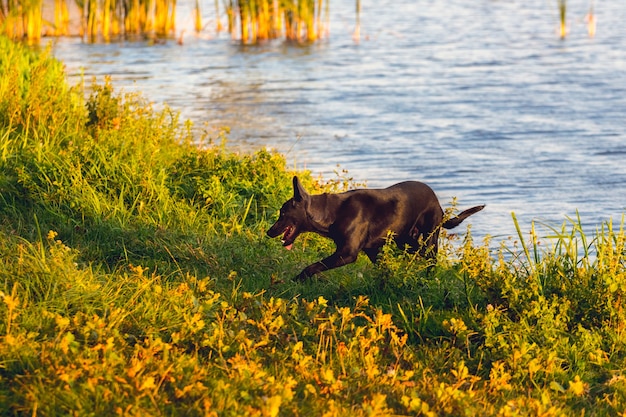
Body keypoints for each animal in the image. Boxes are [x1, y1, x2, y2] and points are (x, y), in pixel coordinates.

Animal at [264, 176, 482, 280]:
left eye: (283, 213)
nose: (268, 232)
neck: (330, 213)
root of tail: (438, 202)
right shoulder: (371, 250)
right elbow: (383, 270)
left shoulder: (347, 253)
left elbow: (312, 266)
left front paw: (297, 279)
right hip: (407, 241)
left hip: (429, 238)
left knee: (431, 260)